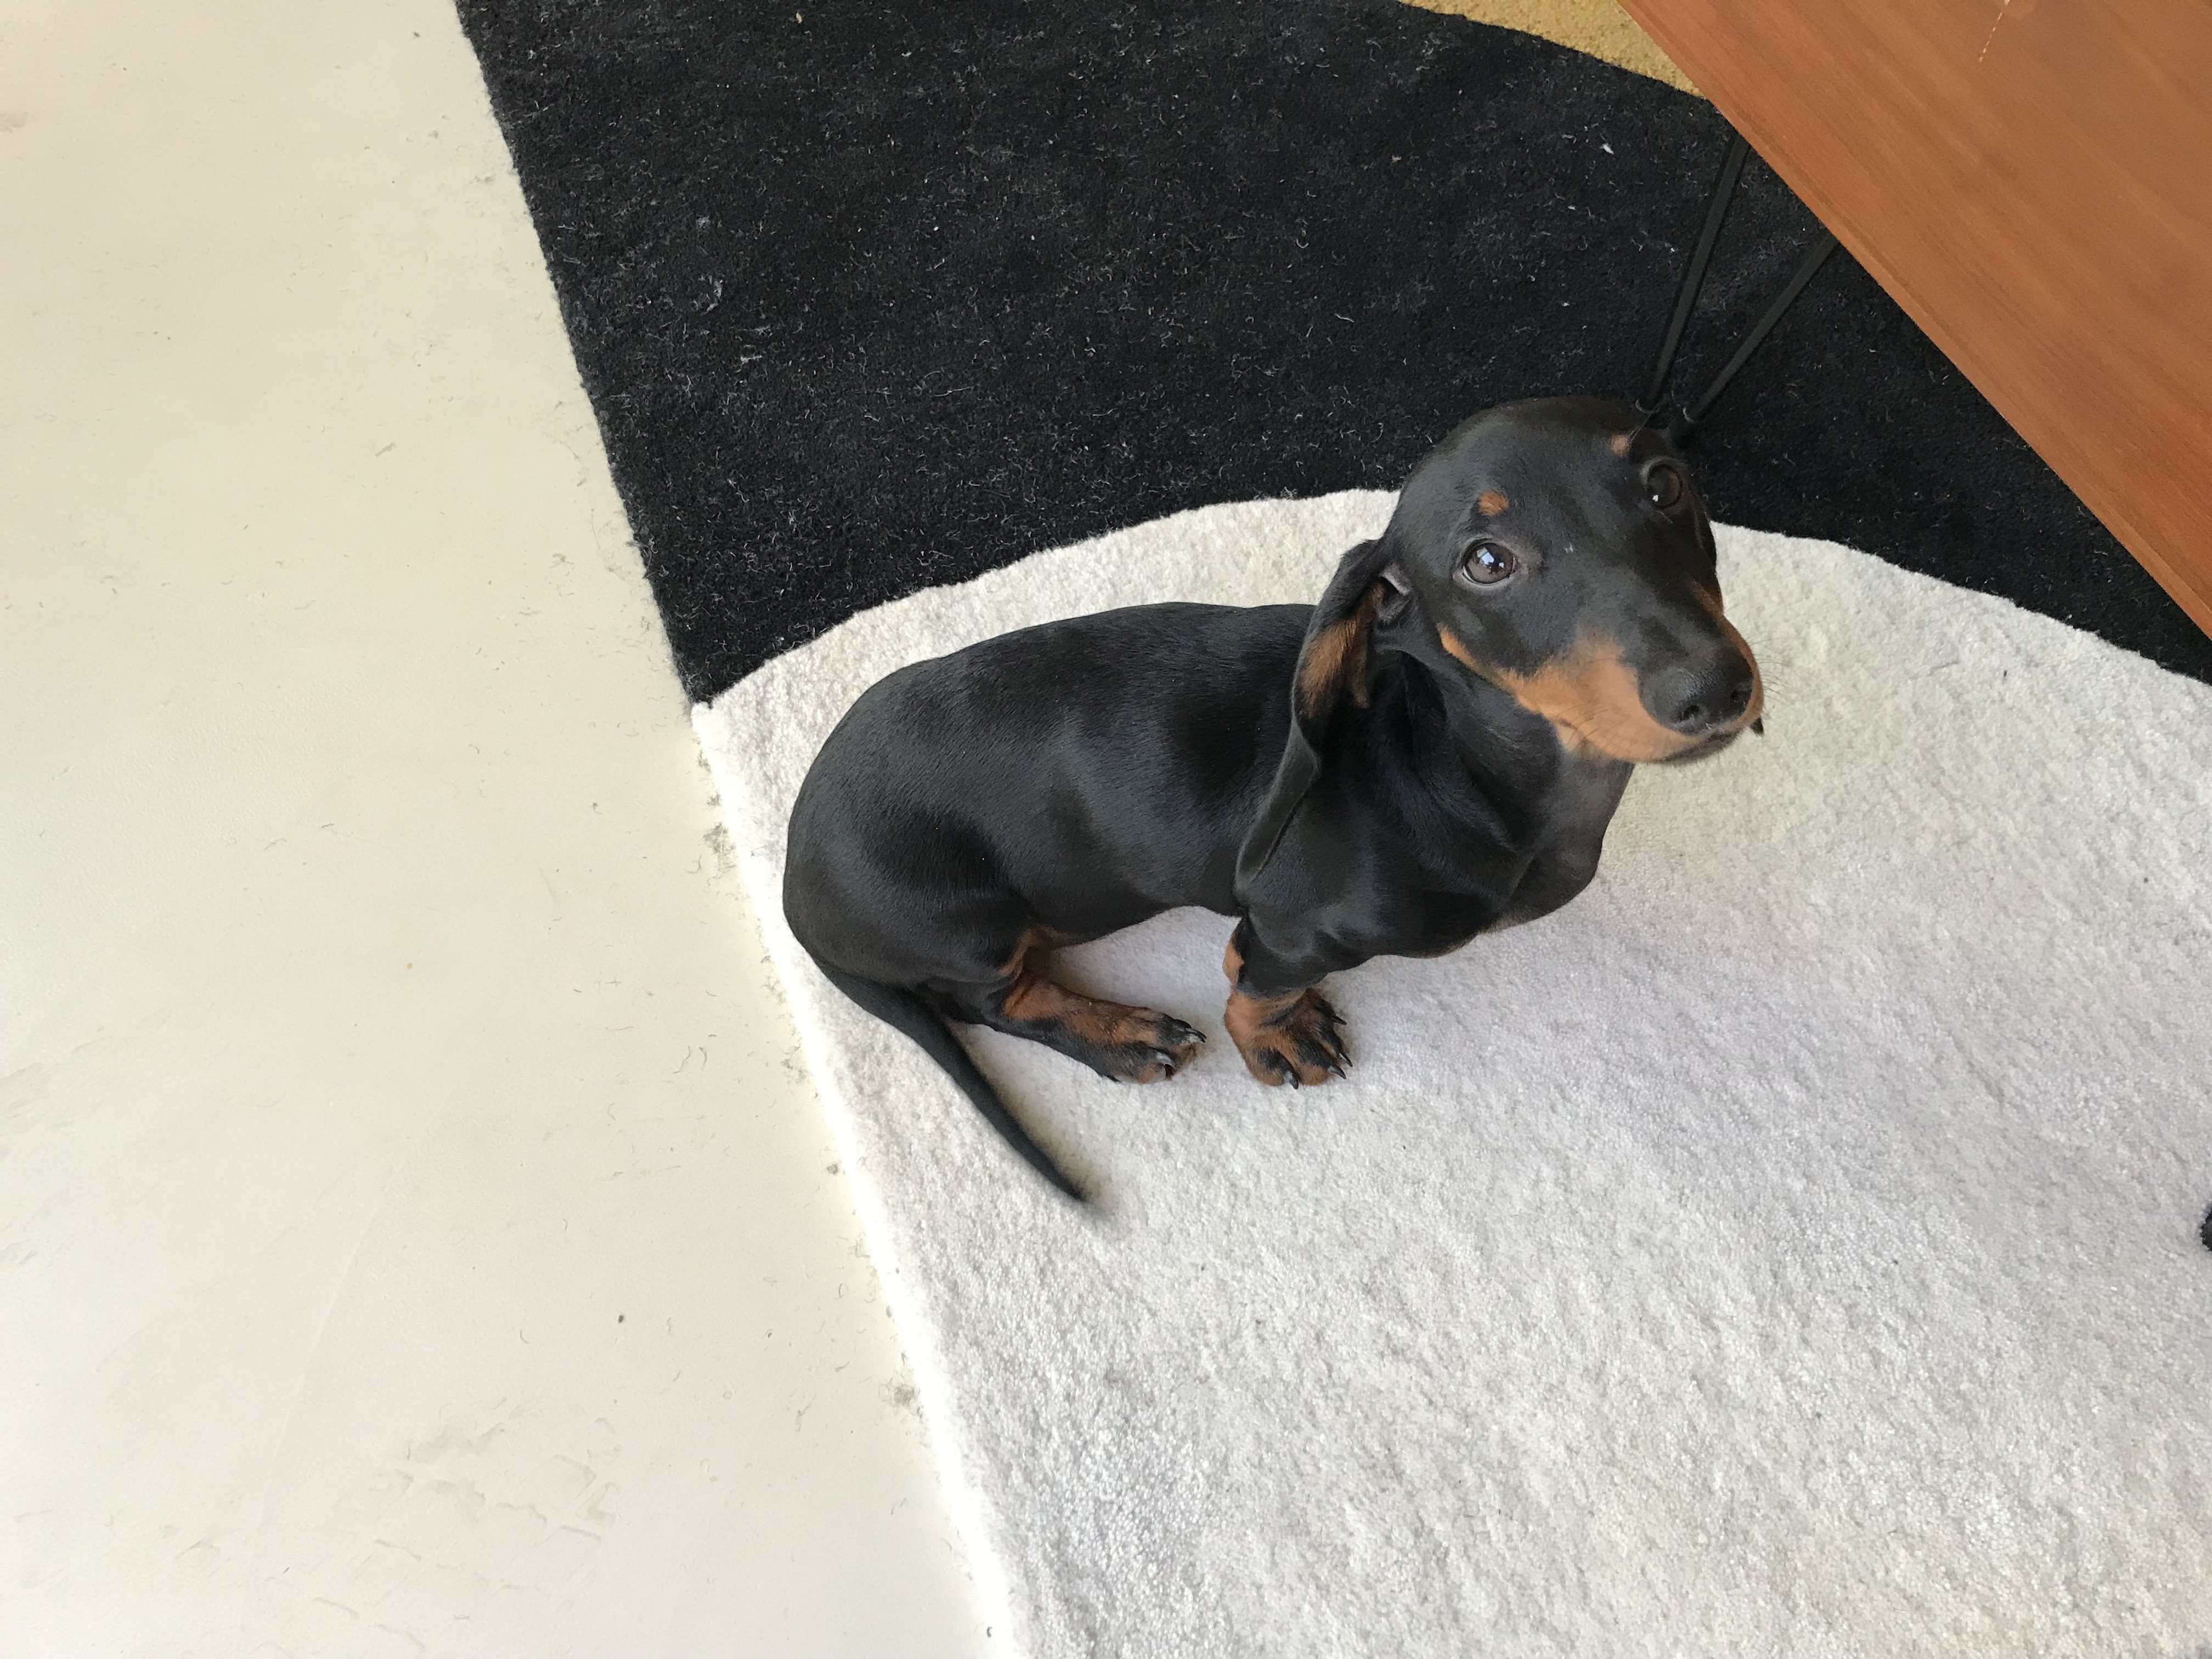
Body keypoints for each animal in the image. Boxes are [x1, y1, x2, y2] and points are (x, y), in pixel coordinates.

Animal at [784, 396, 1764, 1201]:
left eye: (1666, 482)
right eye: (1486, 561)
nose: (1714, 689)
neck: (1449, 764)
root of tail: (793, 879)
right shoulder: (1299, 927)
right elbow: (1254, 989)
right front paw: (1274, 1039)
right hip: (968, 928)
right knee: (997, 1004)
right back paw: (1119, 1035)